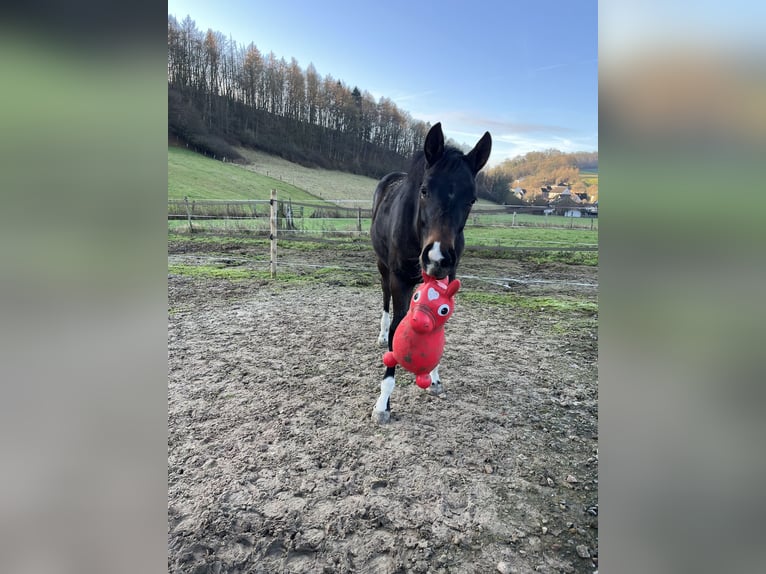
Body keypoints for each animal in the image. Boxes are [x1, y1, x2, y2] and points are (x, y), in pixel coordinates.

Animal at [370, 122, 491, 423]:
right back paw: (381, 334)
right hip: (383, 268)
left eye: (471, 199)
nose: (437, 257)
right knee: (385, 300)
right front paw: (383, 404)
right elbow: (396, 328)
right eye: (424, 190)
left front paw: (434, 380)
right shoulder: (399, 280)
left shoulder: (445, 281)